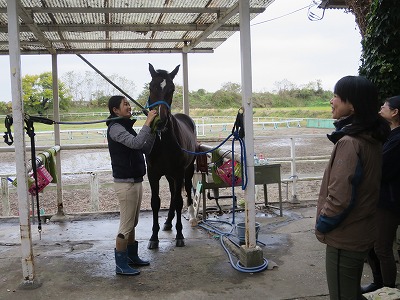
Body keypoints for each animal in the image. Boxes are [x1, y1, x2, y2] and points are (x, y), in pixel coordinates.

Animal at [146, 62, 198, 248]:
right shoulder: (153, 174)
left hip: (187, 171)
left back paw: (192, 217)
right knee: (173, 192)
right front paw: (153, 237)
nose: (159, 121)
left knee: (187, 190)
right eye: (151, 86)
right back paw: (168, 222)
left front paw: (180, 235)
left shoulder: (178, 172)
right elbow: (155, 202)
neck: (163, 140)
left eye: (172, 89)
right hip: (169, 175)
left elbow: (179, 201)